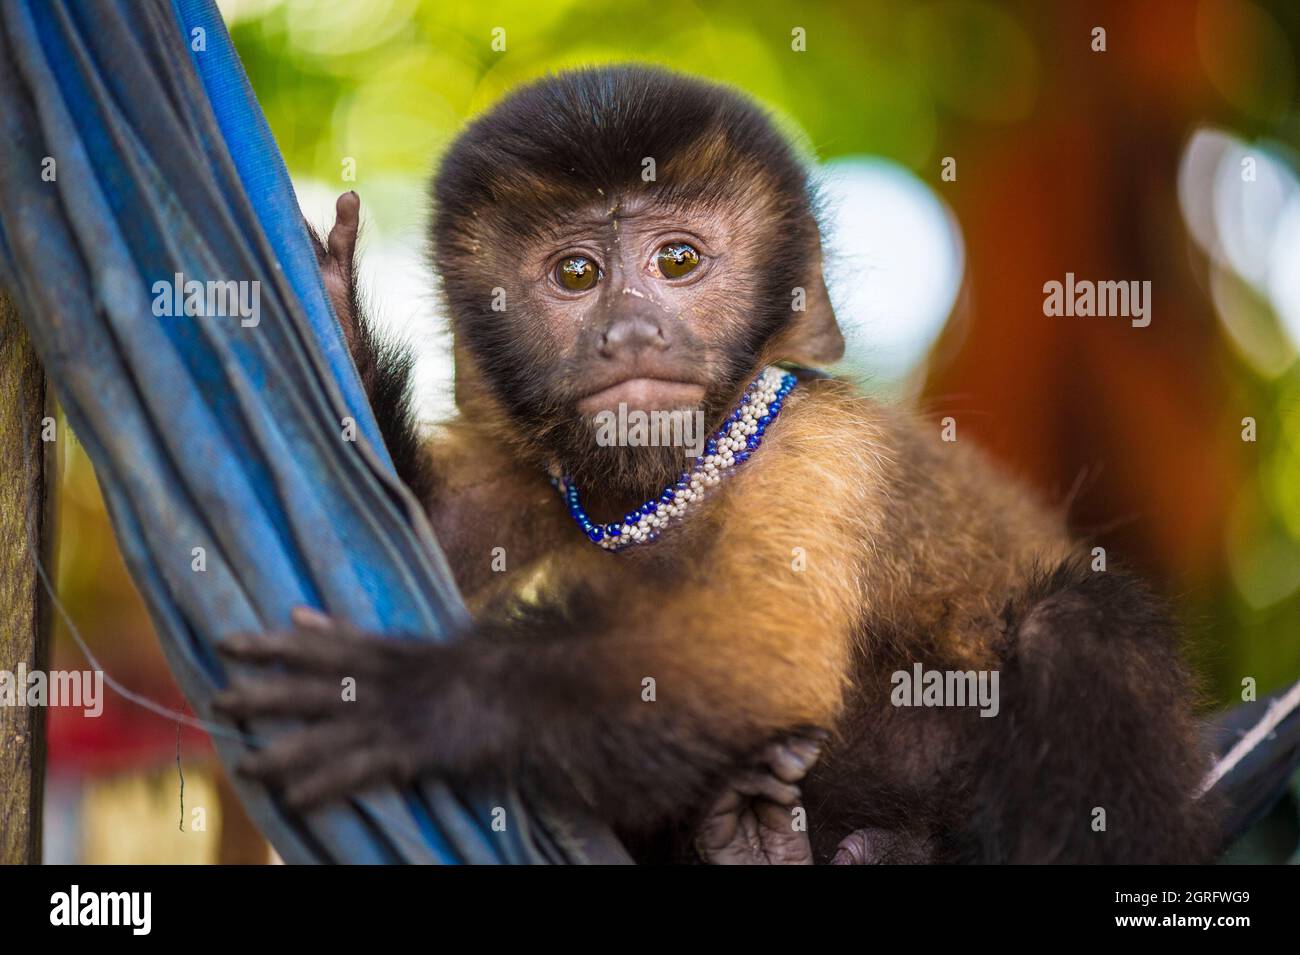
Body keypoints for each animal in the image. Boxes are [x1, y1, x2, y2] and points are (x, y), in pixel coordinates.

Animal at [213, 63, 1216, 862]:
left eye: (679, 261)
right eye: (576, 275)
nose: (631, 332)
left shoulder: (815, 449)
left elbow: (765, 652)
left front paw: (423, 697)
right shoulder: (521, 467)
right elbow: (422, 526)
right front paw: (333, 312)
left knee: (1075, 623)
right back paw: (758, 842)